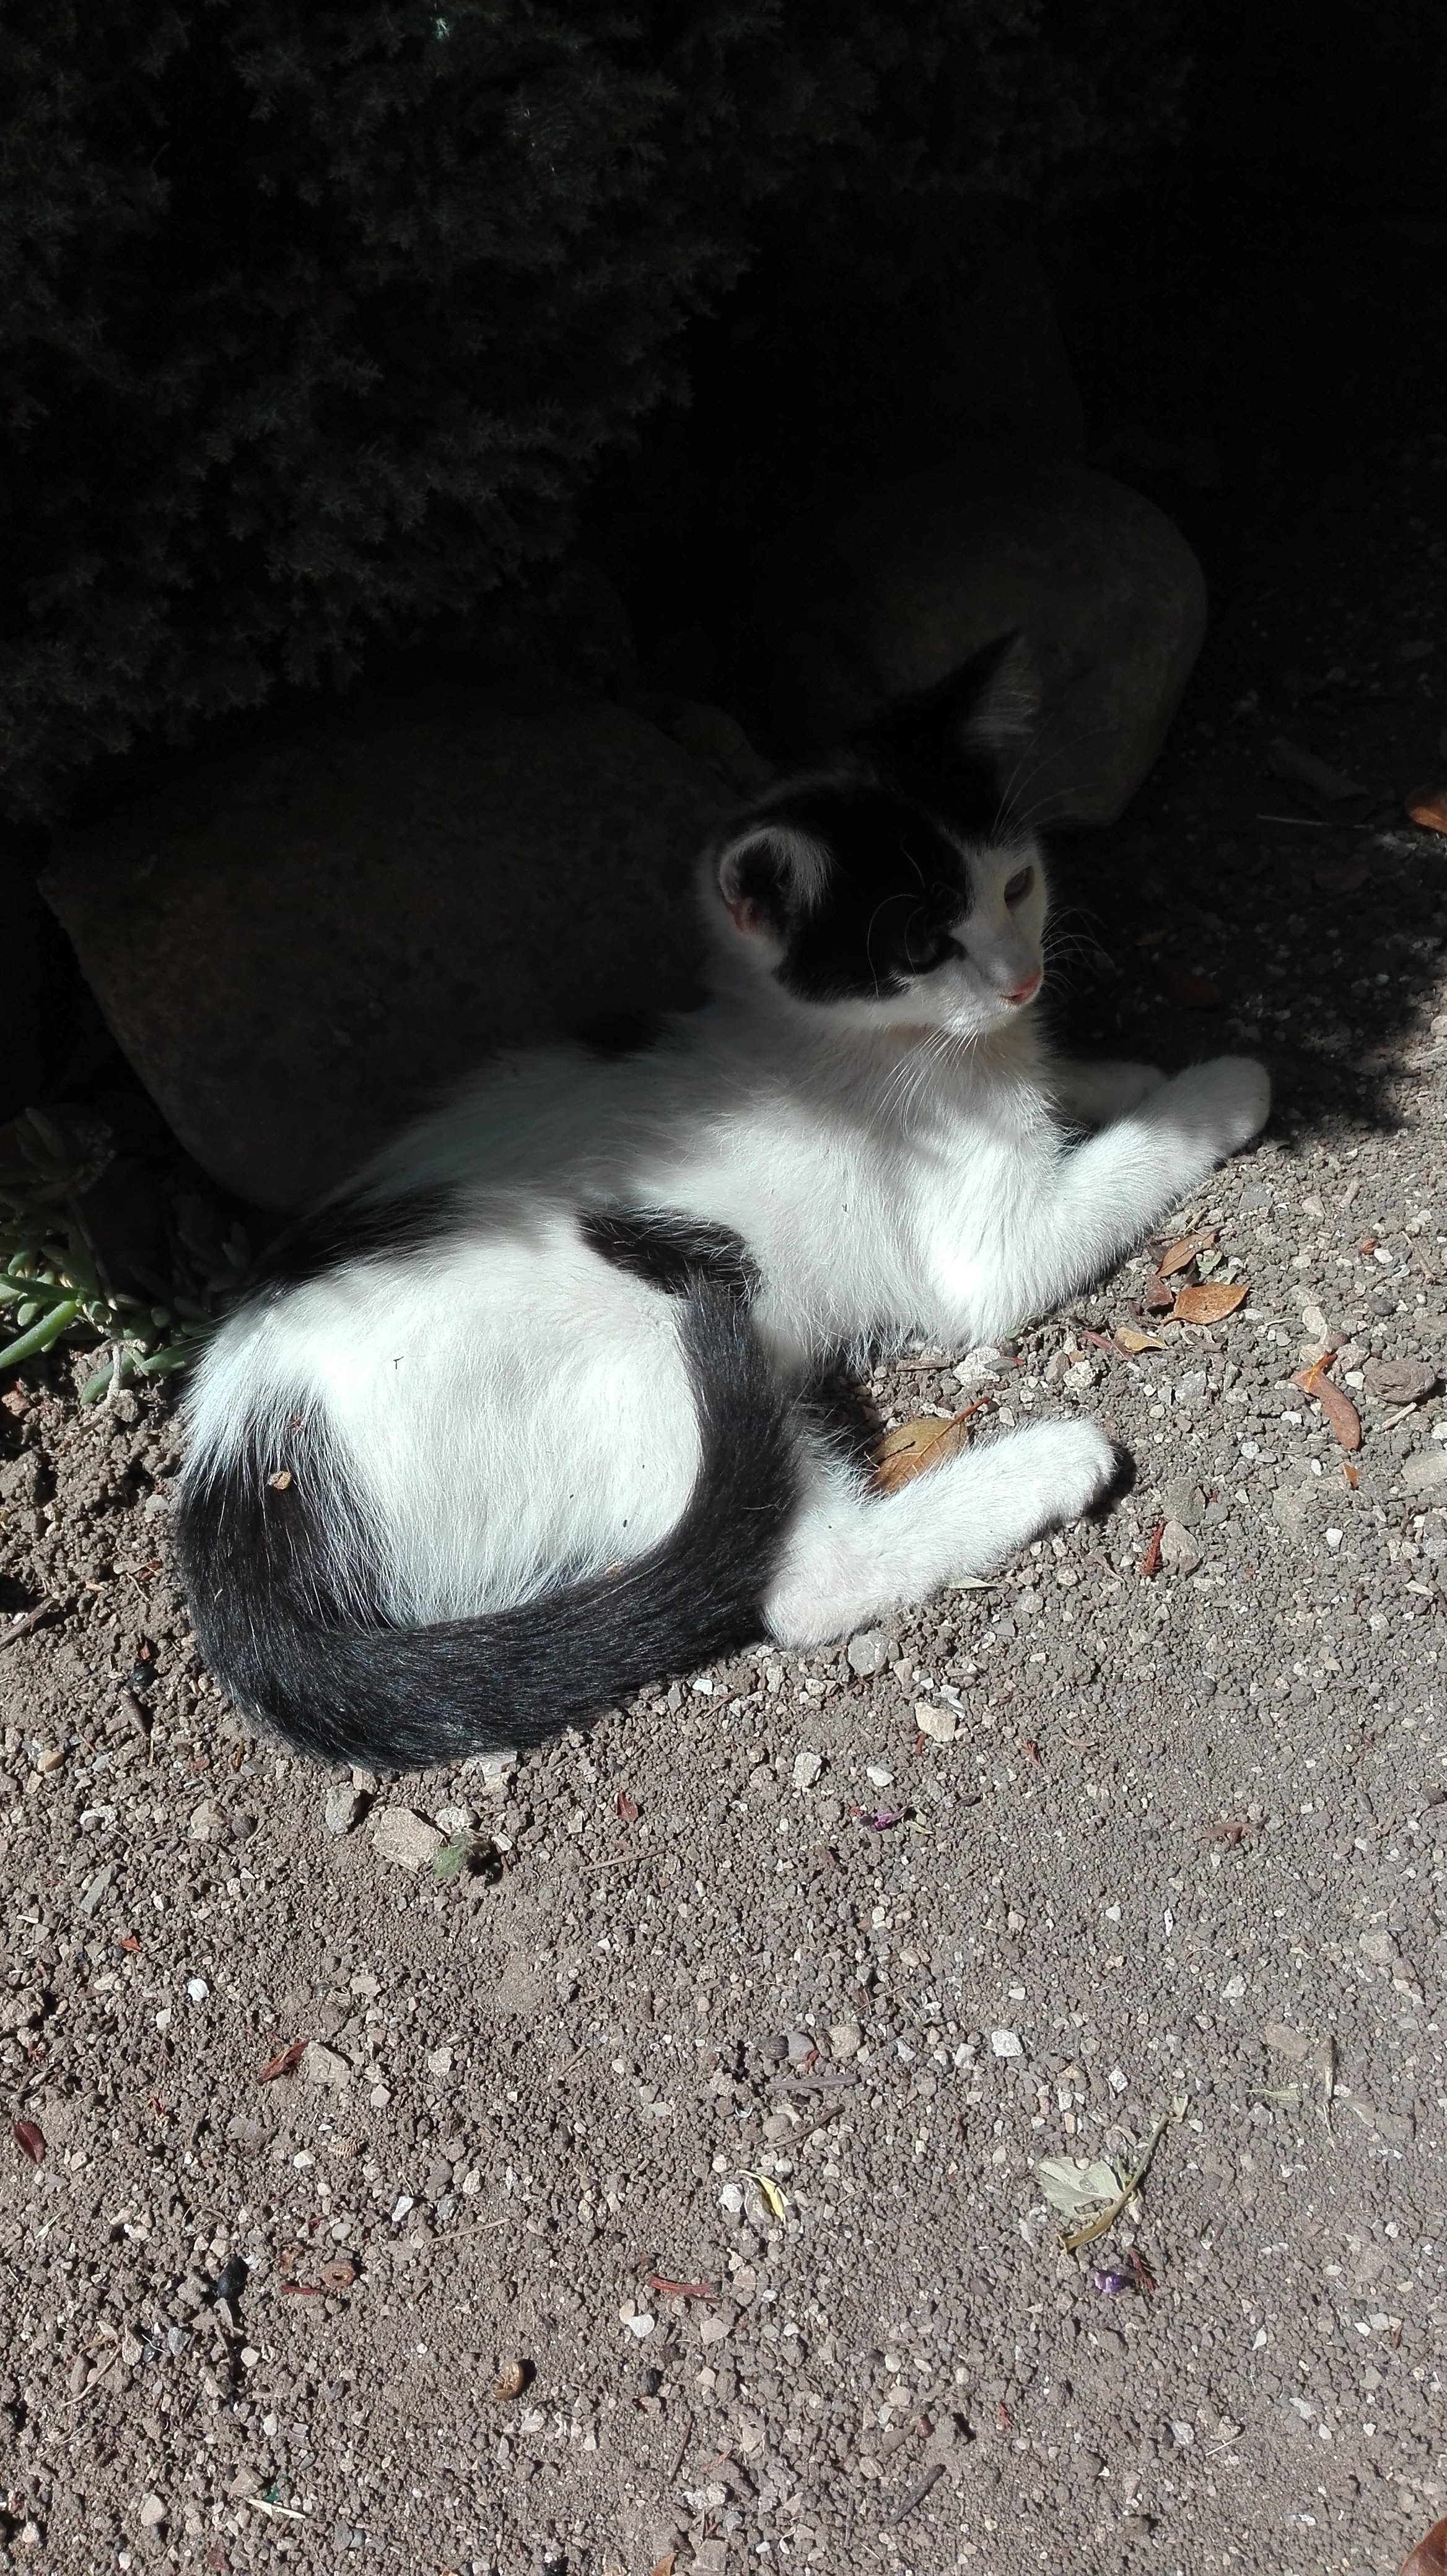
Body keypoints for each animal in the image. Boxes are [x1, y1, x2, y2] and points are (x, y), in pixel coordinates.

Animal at [178, 636, 1269, 1769]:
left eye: (1017, 885)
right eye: (923, 950)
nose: (1022, 980)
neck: (851, 1046)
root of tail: (238, 1456)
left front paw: (1111, 1075)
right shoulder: (984, 1248)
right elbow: (1102, 1183)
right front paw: (1216, 1090)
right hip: (657, 1337)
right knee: (806, 1582)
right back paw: (1049, 1463)